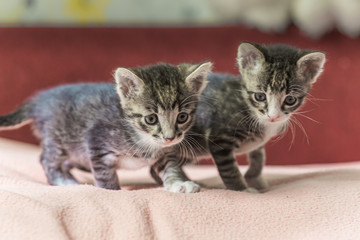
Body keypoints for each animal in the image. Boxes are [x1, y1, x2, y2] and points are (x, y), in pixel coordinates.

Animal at [0, 62, 212, 190]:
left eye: (182, 117)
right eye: (151, 119)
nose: (170, 137)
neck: (144, 139)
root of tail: (41, 100)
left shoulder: (167, 152)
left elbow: (171, 166)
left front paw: (179, 184)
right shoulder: (96, 141)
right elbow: (105, 176)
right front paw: (111, 191)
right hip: (60, 139)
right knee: (46, 159)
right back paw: (64, 181)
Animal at [150, 41, 324, 193]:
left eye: (290, 100)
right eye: (260, 96)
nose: (273, 116)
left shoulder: (257, 143)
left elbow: (259, 157)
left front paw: (254, 178)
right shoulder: (220, 140)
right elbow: (230, 169)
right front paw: (242, 189)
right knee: (158, 166)